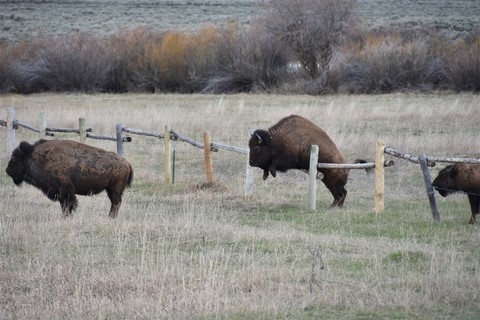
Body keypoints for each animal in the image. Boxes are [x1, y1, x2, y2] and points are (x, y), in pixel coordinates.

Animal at [5, 139, 133, 219]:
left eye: (15, 158)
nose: (7, 170)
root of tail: (126, 163)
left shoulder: (65, 190)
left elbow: (68, 205)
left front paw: (66, 217)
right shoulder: (61, 192)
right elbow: (64, 205)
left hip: (114, 190)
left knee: (115, 203)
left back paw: (111, 217)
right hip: (111, 190)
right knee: (116, 203)